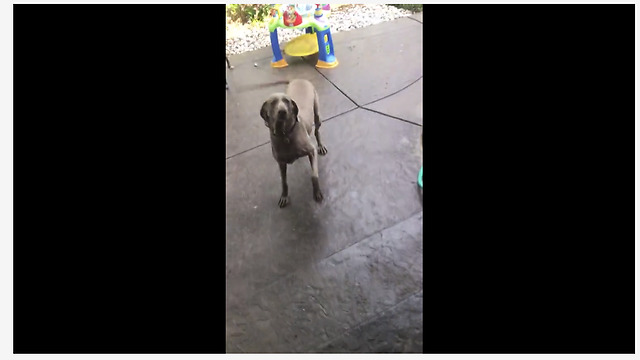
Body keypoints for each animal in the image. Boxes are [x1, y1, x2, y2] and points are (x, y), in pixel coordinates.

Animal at [262, 79, 330, 208]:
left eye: (287, 101)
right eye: (273, 102)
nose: (282, 112)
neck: (285, 134)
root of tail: (298, 79)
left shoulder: (311, 151)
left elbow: (314, 175)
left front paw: (317, 192)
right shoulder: (281, 163)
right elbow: (284, 182)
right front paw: (284, 196)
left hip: (317, 114)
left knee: (317, 131)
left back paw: (321, 146)